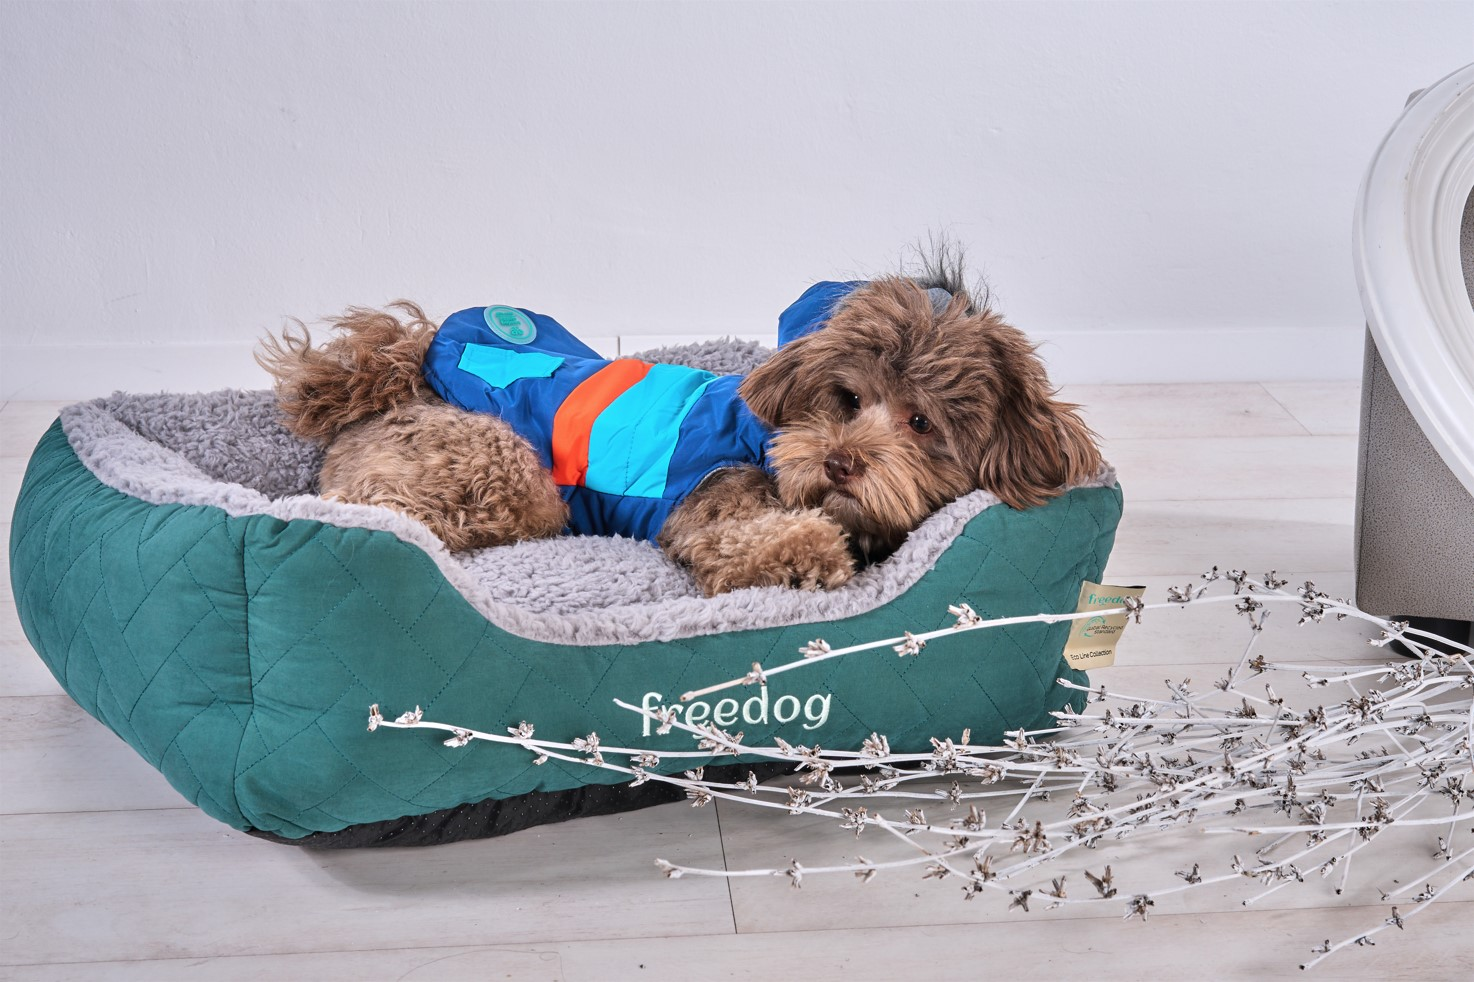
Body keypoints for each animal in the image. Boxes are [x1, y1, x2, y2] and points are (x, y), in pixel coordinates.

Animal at [258, 259, 1100, 596]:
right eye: (845, 397)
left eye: (920, 421)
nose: (838, 462)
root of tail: (399, 373)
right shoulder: (710, 514)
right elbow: (757, 542)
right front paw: (810, 552)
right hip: (504, 468)